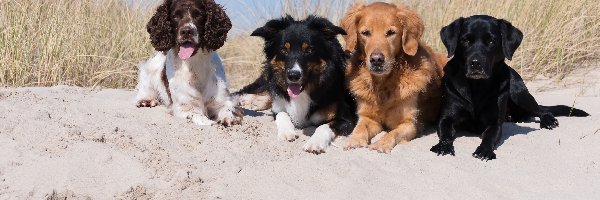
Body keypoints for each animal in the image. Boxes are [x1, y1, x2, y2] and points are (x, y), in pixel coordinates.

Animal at [234, 16, 356, 153]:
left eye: (309, 50)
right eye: (284, 49)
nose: (293, 75)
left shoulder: (346, 119)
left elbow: (324, 126)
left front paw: (315, 142)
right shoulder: (278, 106)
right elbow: (281, 113)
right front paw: (286, 132)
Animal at [340, 2, 448, 153]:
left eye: (391, 32)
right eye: (365, 33)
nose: (376, 60)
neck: (383, 85)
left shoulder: (409, 123)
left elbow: (393, 133)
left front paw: (381, 144)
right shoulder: (368, 117)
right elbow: (359, 128)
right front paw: (354, 140)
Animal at [432, 14, 592, 160]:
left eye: (491, 41)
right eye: (466, 40)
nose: (476, 63)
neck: (476, 86)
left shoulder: (495, 123)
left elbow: (489, 137)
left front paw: (484, 150)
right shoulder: (446, 118)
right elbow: (445, 133)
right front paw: (443, 146)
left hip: (519, 93)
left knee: (541, 110)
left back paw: (548, 120)